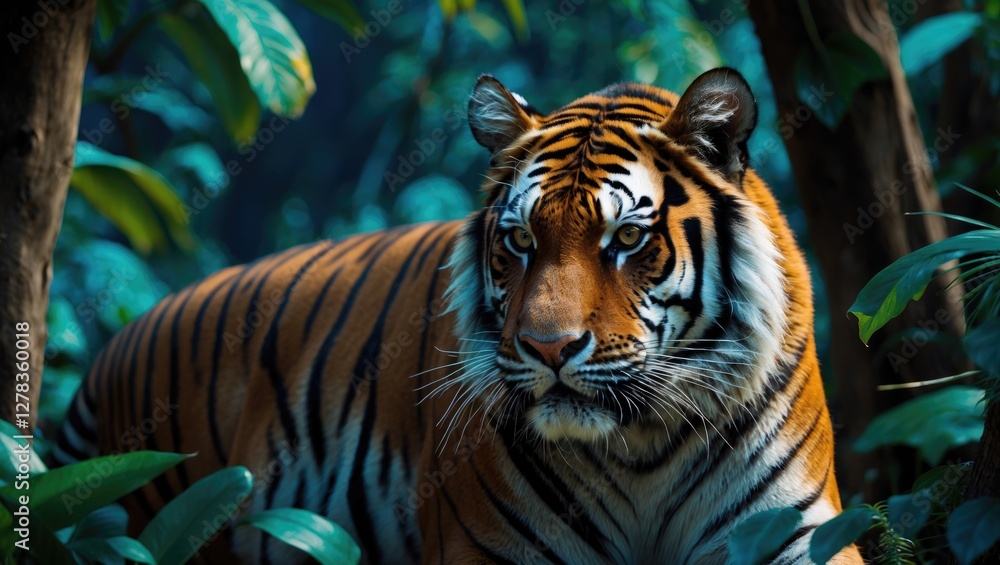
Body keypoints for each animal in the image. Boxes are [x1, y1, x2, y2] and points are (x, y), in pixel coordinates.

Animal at [55, 67, 862, 564]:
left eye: (627, 239)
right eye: (521, 241)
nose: (549, 349)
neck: (641, 447)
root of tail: (121, 340)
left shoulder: (797, 531)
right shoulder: (490, 546)